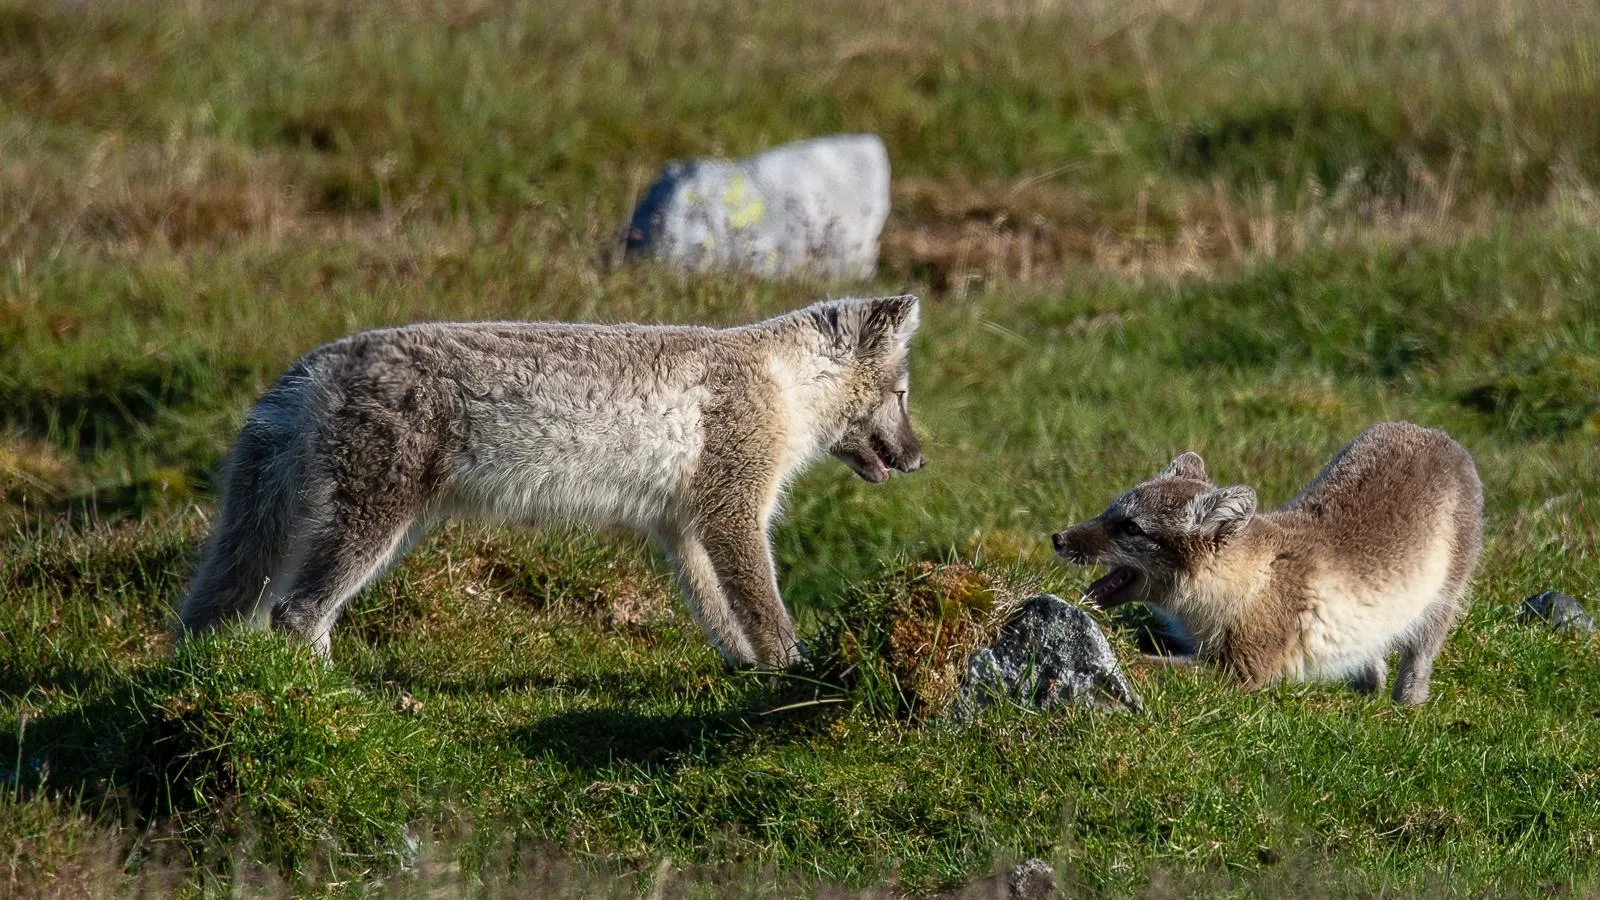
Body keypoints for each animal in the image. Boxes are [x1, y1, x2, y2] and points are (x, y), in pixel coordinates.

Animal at [178, 295, 926, 669]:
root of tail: (307, 370)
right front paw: (791, 672)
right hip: (370, 529)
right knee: (295, 613)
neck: (784, 381)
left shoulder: (684, 527)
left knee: (236, 611)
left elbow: (719, 614)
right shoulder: (734, 511)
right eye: (904, 394)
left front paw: (748, 671)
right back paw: (336, 701)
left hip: (348, 535)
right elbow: (764, 608)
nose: (920, 460)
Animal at [1050, 422, 1483, 704]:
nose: (1058, 538)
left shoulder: (1245, 668)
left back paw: (1407, 702)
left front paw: (1119, 661)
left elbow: (1156, 665)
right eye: (1111, 509)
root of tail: (1435, 433)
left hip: (1445, 594)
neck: (1251, 580)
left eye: (1132, 527)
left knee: (1421, 652)